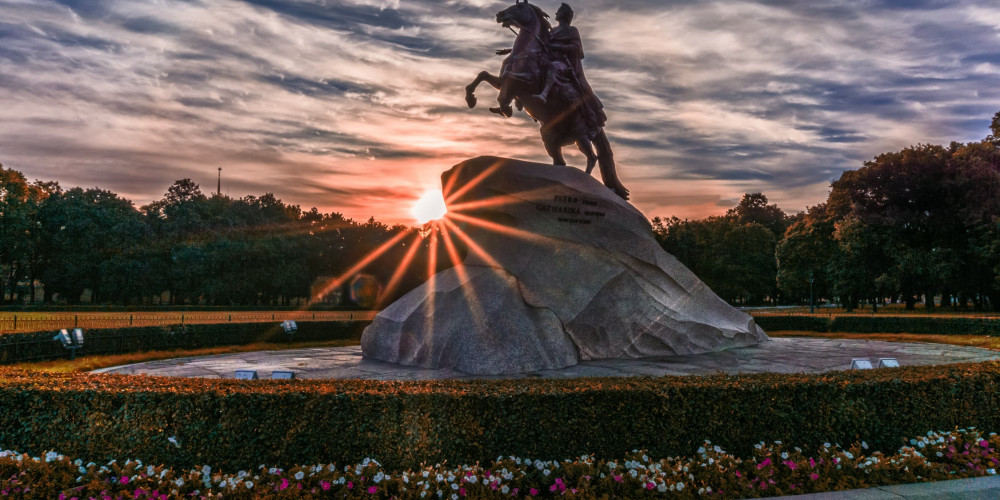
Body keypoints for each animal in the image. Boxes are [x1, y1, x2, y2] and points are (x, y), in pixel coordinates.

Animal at [464, 0, 628, 199]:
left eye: (519, 7)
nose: (500, 15)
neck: (526, 51)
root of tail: (598, 125)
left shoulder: (526, 81)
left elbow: (509, 83)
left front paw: (506, 106)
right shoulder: (501, 80)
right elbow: (484, 75)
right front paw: (471, 98)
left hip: (581, 135)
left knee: (592, 157)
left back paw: (585, 182)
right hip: (550, 138)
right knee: (561, 162)